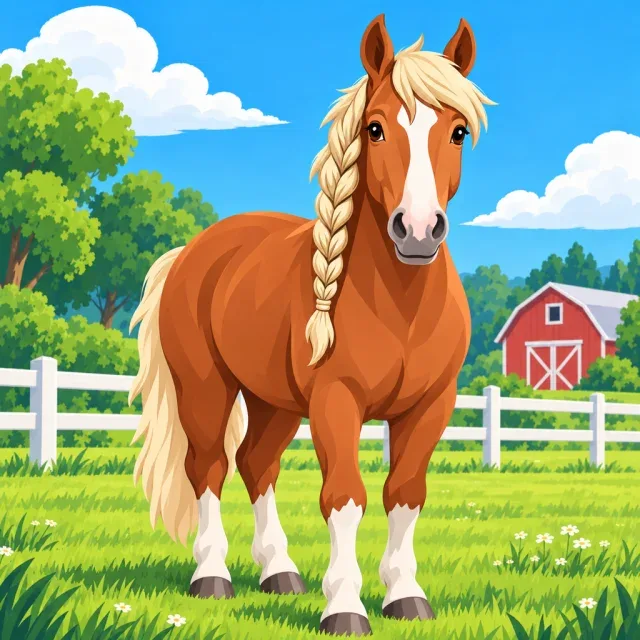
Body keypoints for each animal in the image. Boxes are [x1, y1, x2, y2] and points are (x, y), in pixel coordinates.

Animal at [129, 14, 494, 637]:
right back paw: (212, 577)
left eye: (458, 131)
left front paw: (405, 596)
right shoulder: (335, 399)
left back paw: (279, 572)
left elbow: (405, 492)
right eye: (375, 128)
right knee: (209, 467)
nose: (418, 230)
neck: (400, 307)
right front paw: (344, 606)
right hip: (206, 387)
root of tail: (191, 251)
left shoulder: (430, 405)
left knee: (256, 464)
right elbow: (344, 496)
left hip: (274, 401)